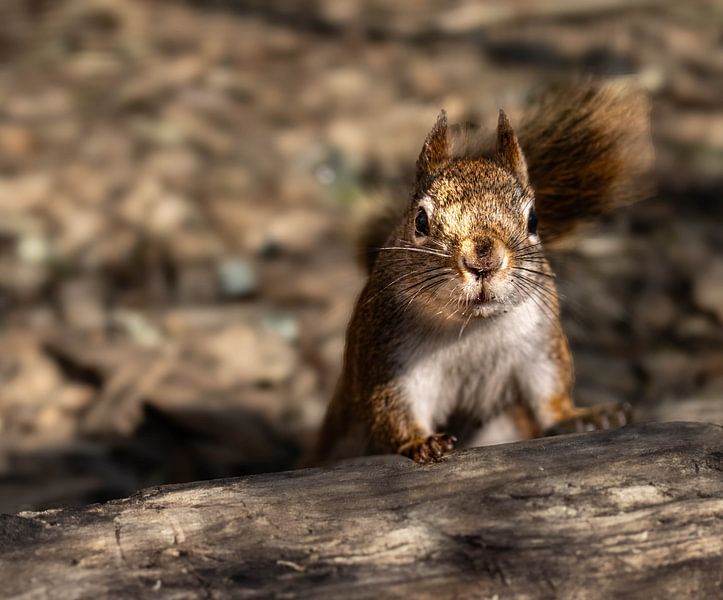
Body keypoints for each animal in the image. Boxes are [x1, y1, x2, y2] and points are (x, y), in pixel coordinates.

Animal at [315, 81, 653, 464]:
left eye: (534, 219)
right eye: (420, 220)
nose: (483, 261)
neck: (469, 329)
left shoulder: (538, 344)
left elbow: (550, 391)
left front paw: (582, 417)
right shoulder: (389, 356)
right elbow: (392, 409)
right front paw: (420, 441)